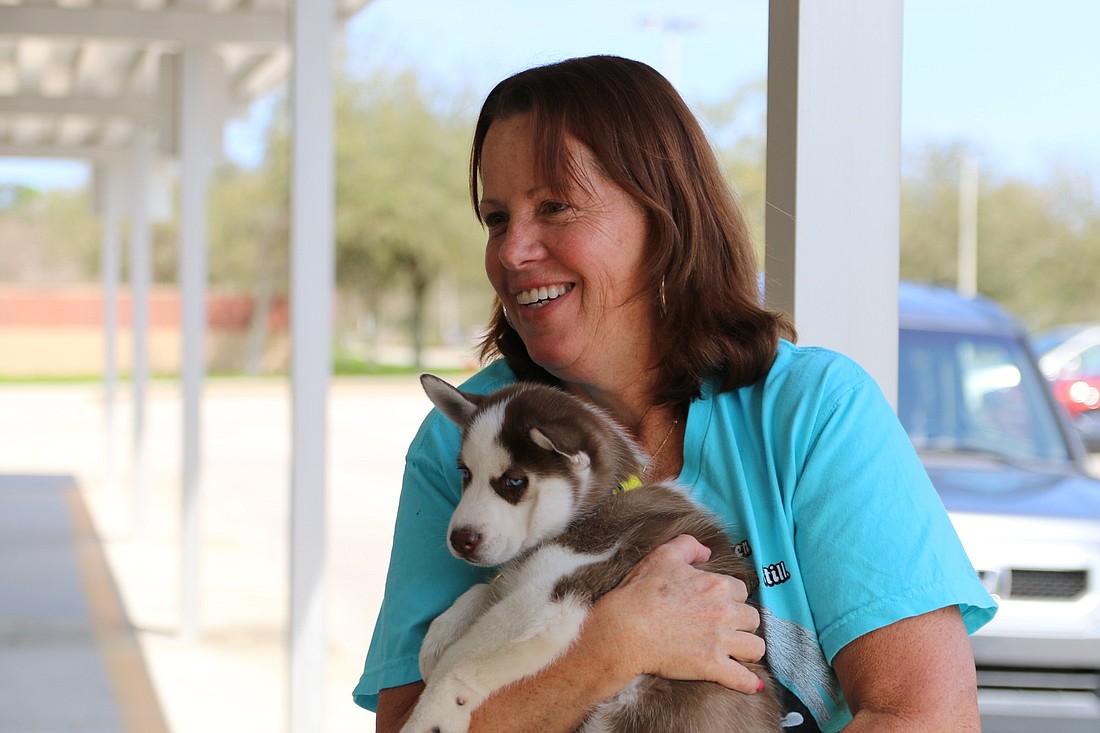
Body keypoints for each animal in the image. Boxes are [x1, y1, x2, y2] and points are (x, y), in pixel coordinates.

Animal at [404, 376, 783, 730]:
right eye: (466, 473)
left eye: (514, 482)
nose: (459, 540)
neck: (596, 506)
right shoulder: (525, 579)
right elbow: (484, 589)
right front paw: (437, 638)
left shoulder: (558, 593)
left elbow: (461, 657)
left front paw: (429, 713)